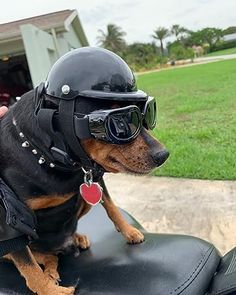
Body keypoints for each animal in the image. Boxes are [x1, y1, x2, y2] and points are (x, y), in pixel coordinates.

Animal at [0, 86, 170, 294]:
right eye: (119, 122)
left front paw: (129, 231)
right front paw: (49, 290)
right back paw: (50, 272)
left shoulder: (93, 179)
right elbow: (29, 267)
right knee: (43, 256)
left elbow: (112, 207)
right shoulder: (9, 220)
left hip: (83, 202)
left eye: (149, 113)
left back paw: (77, 238)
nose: (163, 155)